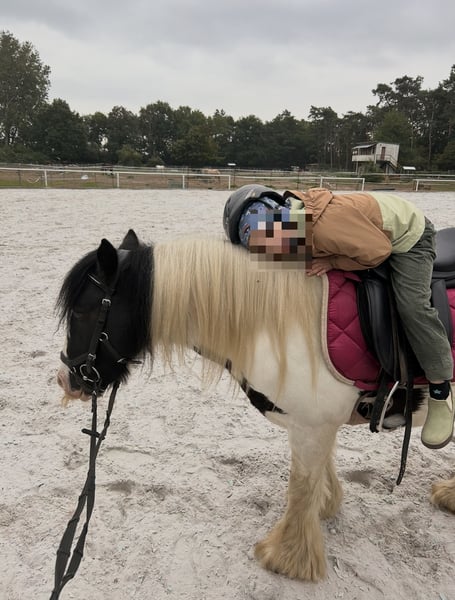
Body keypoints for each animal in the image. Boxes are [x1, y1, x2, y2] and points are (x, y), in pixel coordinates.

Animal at [56, 229, 455, 582]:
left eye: (82, 312)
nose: (66, 380)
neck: (276, 319)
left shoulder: (311, 426)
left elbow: (300, 487)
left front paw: (287, 558)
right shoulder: (315, 425)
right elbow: (318, 476)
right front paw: (325, 506)